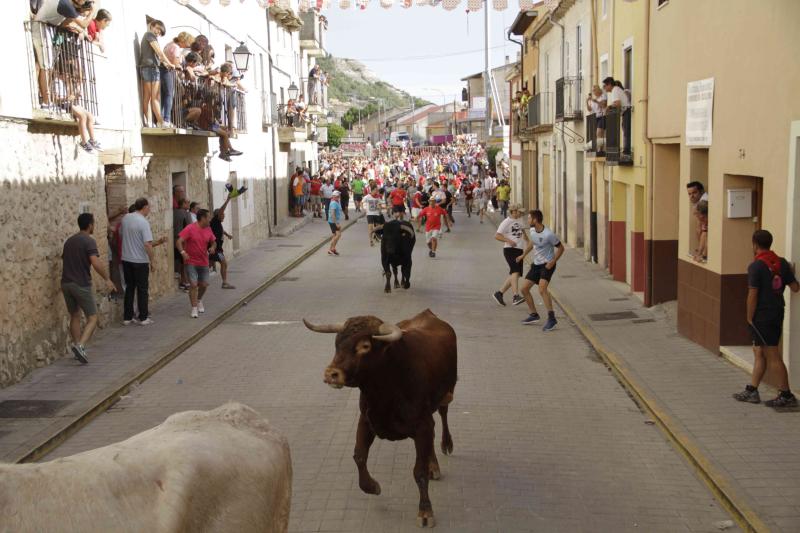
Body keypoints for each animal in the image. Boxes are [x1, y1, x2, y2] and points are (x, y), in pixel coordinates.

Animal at [304, 310, 456, 524]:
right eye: (337, 342)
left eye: (365, 346)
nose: (331, 374)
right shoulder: (366, 421)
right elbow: (359, 455)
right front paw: (372, 486)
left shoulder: (422, 426)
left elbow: (419, 471)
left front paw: (425, 511)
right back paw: (433, 464)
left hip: (447, 393)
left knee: (443, 415)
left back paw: (444, 447)